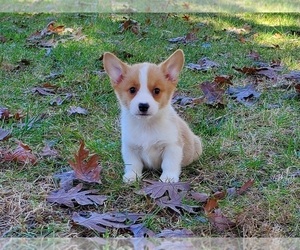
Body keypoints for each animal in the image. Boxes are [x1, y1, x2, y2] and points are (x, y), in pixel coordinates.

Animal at [102, 49, 202, 182]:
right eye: (132, 90)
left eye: (157, 91)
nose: (143, 106)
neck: (146, 125)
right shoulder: (130, 147)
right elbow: (133, 164)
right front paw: (132, 176)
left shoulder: (172, 146)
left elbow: (169, 164)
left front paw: (168, 178)